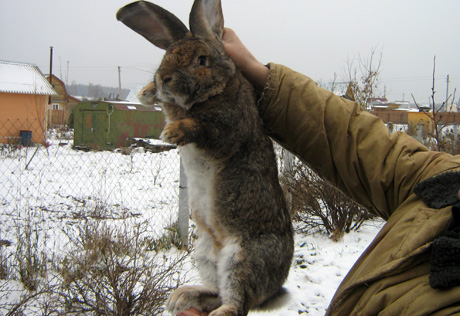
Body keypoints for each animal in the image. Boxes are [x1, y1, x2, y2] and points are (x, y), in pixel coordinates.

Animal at [117, 1, 294, 314]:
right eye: (167, 55)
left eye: (202, 60)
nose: (164, 78)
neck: (216, 89)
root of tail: (272, 290)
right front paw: (147, 93)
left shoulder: (228, 129)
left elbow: (200, 127)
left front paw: (172, 132)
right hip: (206, 254)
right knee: (218, 293)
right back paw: (183, 297)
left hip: (242, 257)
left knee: (238, 302)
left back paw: (214, 308)